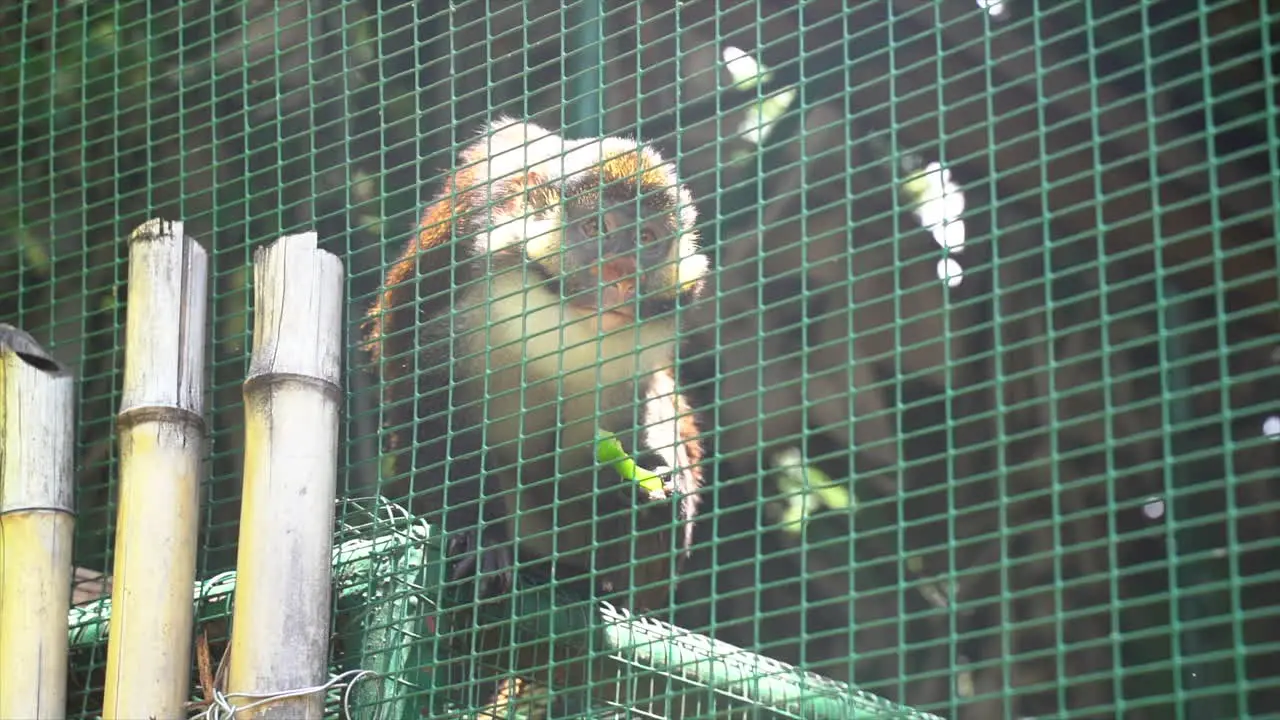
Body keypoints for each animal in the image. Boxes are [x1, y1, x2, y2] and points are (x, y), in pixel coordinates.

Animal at [363, 114, 711, 614]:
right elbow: (429, 395)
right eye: (598, 228)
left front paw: (654, 477)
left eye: (646, 239)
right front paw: (482, 538)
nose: (621, 274)